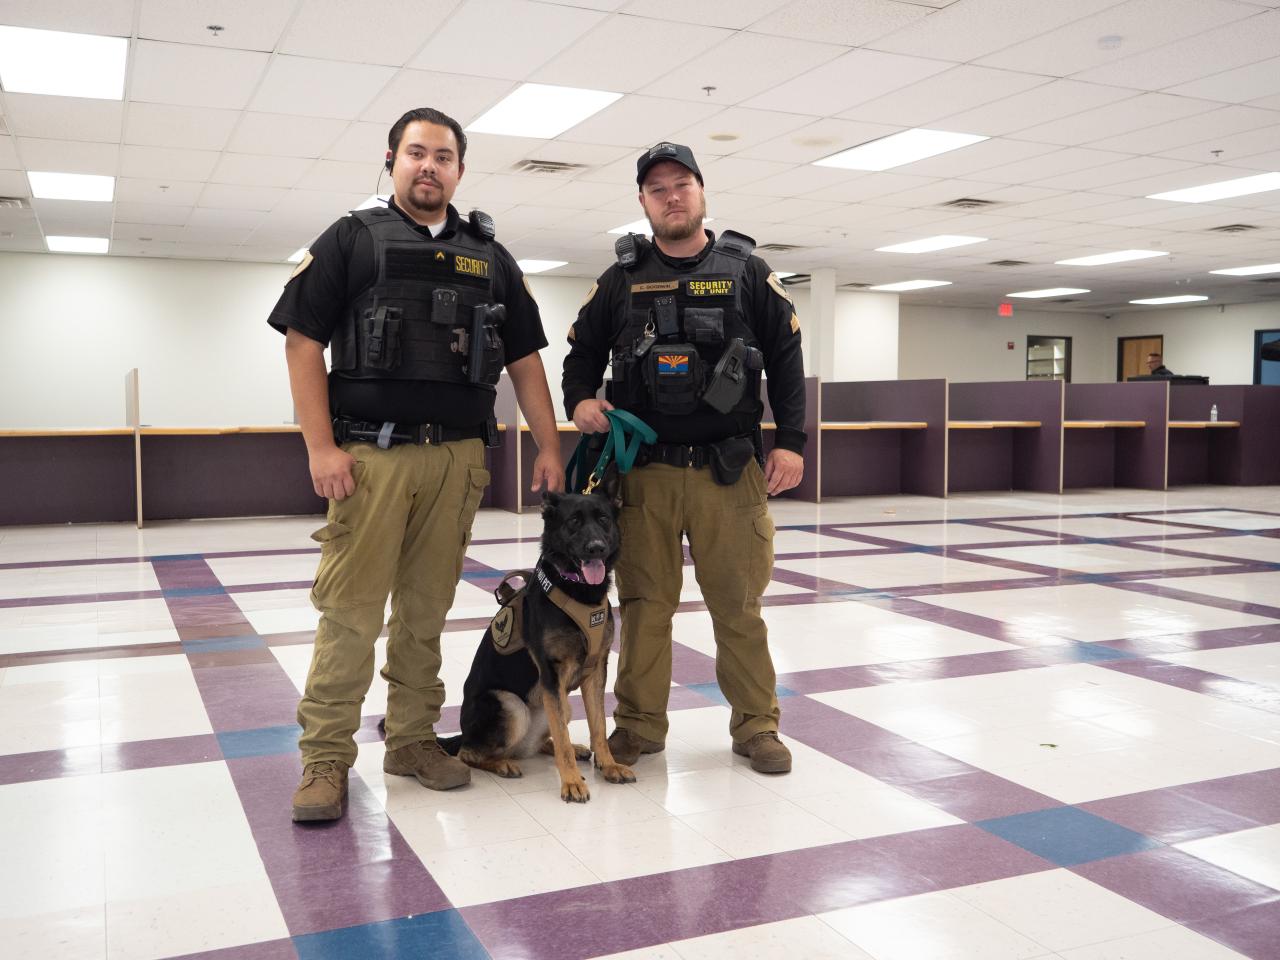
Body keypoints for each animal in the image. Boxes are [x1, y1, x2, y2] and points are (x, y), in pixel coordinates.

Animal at [437, 478, 637, 803]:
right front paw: (571, 782)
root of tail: (463, 733)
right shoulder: (551, 674)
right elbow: (565, 741)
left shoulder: (595, 673)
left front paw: (607, 765)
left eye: (604, 519)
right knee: (470, 753)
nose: (596, 547)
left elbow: (599, 725)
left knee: (550, 737)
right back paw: (502, 763)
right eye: (573, 522)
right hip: (511, 705)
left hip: (558, 704)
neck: (575, 589)